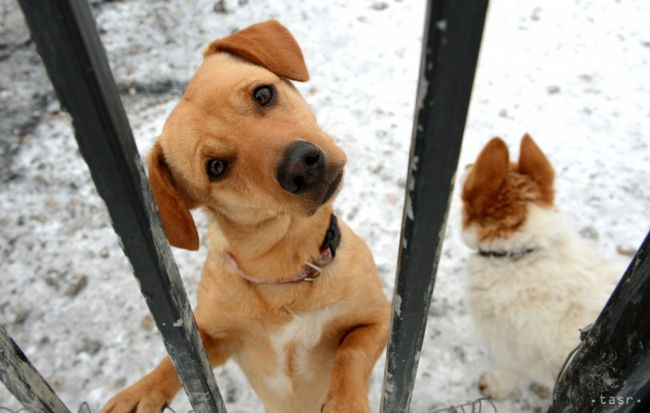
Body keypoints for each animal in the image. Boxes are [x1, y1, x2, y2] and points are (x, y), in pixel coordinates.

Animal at [98, 20, 388, 412]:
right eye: (216, 167)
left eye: (263, 94)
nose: (302, 166)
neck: (283, 268)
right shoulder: (212, 339)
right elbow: (172, 364)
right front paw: (140, 391)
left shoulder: (377, 320)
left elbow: (350, 355)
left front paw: (346, 402)